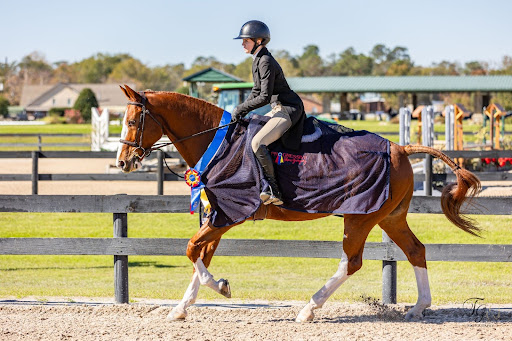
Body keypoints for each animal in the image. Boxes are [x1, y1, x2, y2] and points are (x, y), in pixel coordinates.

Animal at [116, 84, 480, 322]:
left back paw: (309, 308)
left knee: (352, 262)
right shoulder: (220, 214)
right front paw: (182, 307)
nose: (122, 162)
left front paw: (220, 286)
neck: (219, 143)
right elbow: (200, 254)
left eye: (133, 122)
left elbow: (192, 249)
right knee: (415, 250)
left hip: (359, 218)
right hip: (390, 217)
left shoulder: (230, 214)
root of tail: (401, 149)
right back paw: (418, 307)